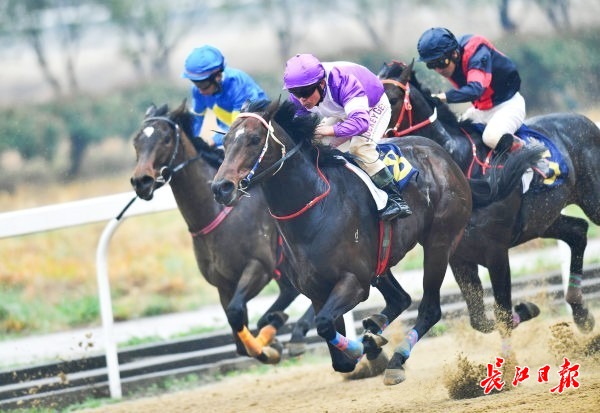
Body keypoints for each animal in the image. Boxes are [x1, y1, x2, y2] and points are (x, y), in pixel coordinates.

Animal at [130, 100, 316, 364]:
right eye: (137, 141)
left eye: (165, 138)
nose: (141, 181)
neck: (214, 214)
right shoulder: (223, 284)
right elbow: (238, 336)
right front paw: (270, 340)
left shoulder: (258, 266)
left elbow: (236, 311)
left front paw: (269, 343)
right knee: (290, 291)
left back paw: (298, 331)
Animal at [211, 99, 472, 385]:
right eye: (225, 143)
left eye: (255, 139)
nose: (220, 187)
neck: (315, 210)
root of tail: (442, 155)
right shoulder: (316, 290)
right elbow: (340, 360)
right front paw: (368, 343)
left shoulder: (354, 282)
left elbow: (325, 324)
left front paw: (366, 346)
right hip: (381, 264)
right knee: (400, 299)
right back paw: (376, 327)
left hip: (439, 242)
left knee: (430, 309)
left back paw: (396, 359)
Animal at [378, 60, 598, 337]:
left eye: (393, 99)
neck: (458, 164)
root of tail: (585, 120)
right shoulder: (457, 257)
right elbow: (480, 320)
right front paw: (526, 308)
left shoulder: (496, 251)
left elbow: (501, 315)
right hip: (543, 221)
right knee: (578, 231)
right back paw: (581, 314)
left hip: (591, 200)